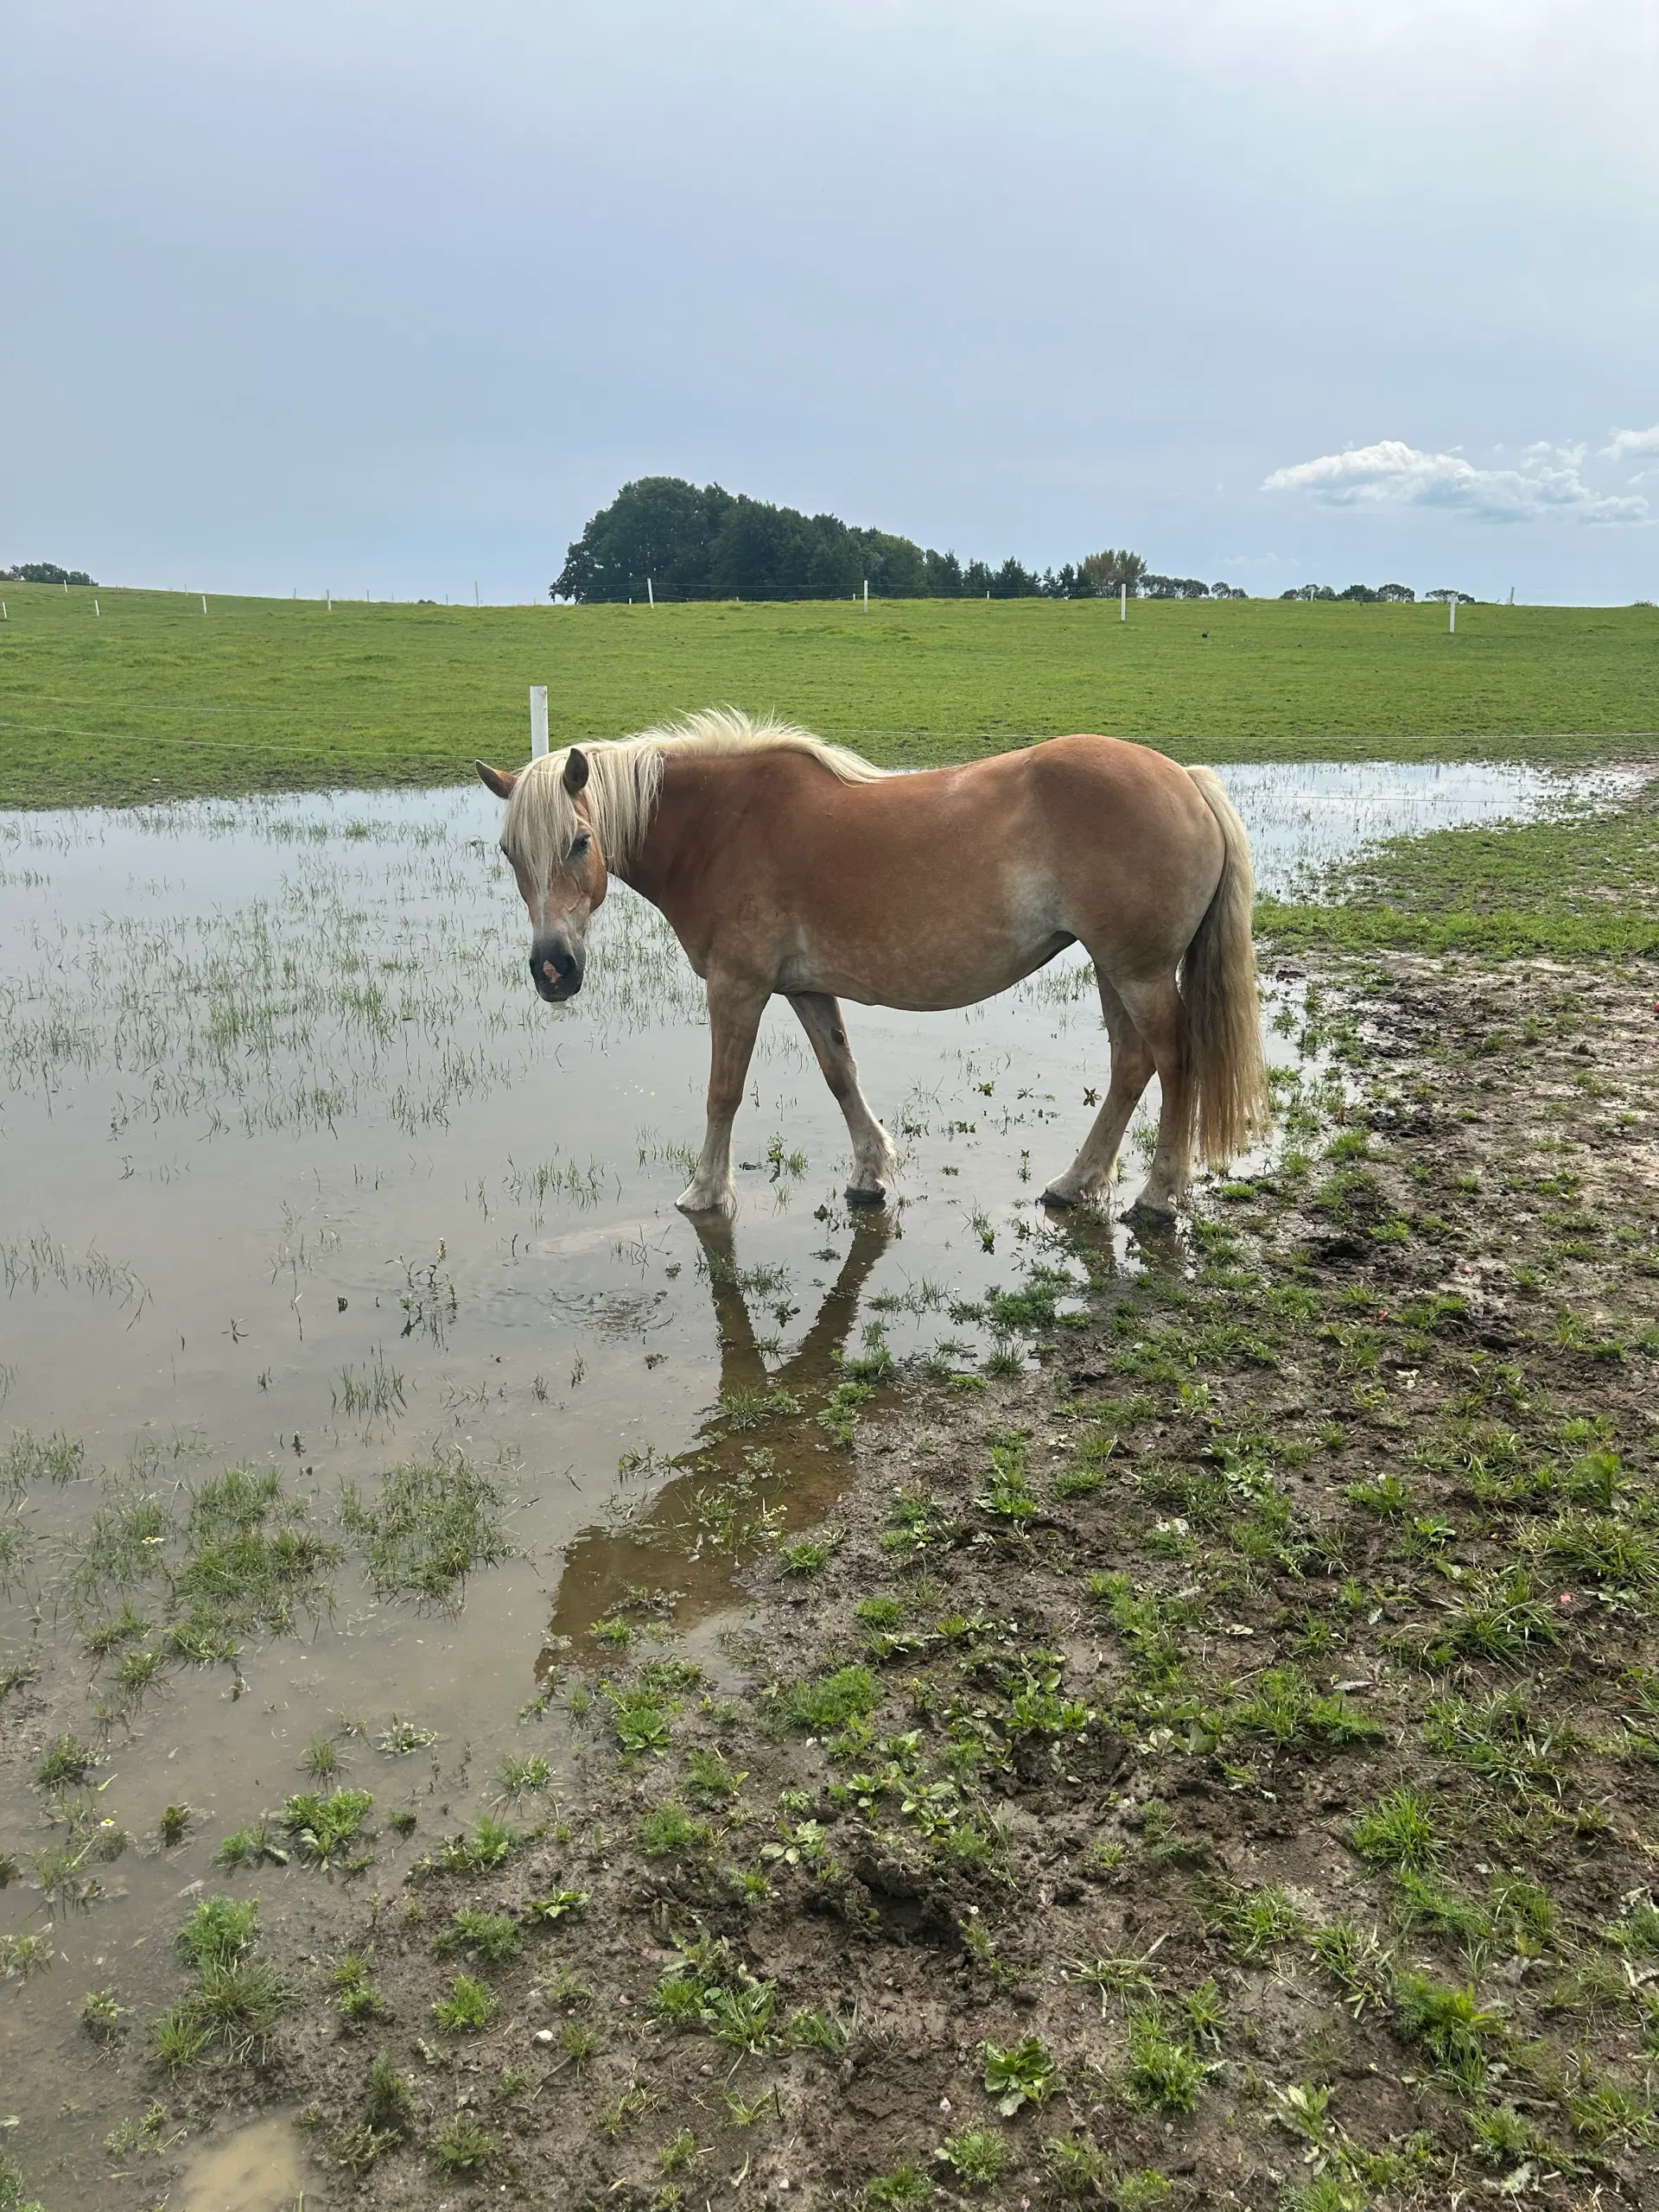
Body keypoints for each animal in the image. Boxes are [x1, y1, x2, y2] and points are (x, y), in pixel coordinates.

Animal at [480, 712, 1274, 1221]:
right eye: (510, 852)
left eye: (580, 841)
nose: (554, 970)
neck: (723, 828)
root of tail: (1185, 779)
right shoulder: (803, 989)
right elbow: (841, 1074)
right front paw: (871, 1173)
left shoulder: (739, 988)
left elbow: (723, 1094)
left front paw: (707, 1192)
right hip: (1114, 968)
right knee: (1130, 1066)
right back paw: (1076, 1183)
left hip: (1140, 972)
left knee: (1175, 1062)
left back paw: (1156, 1194)